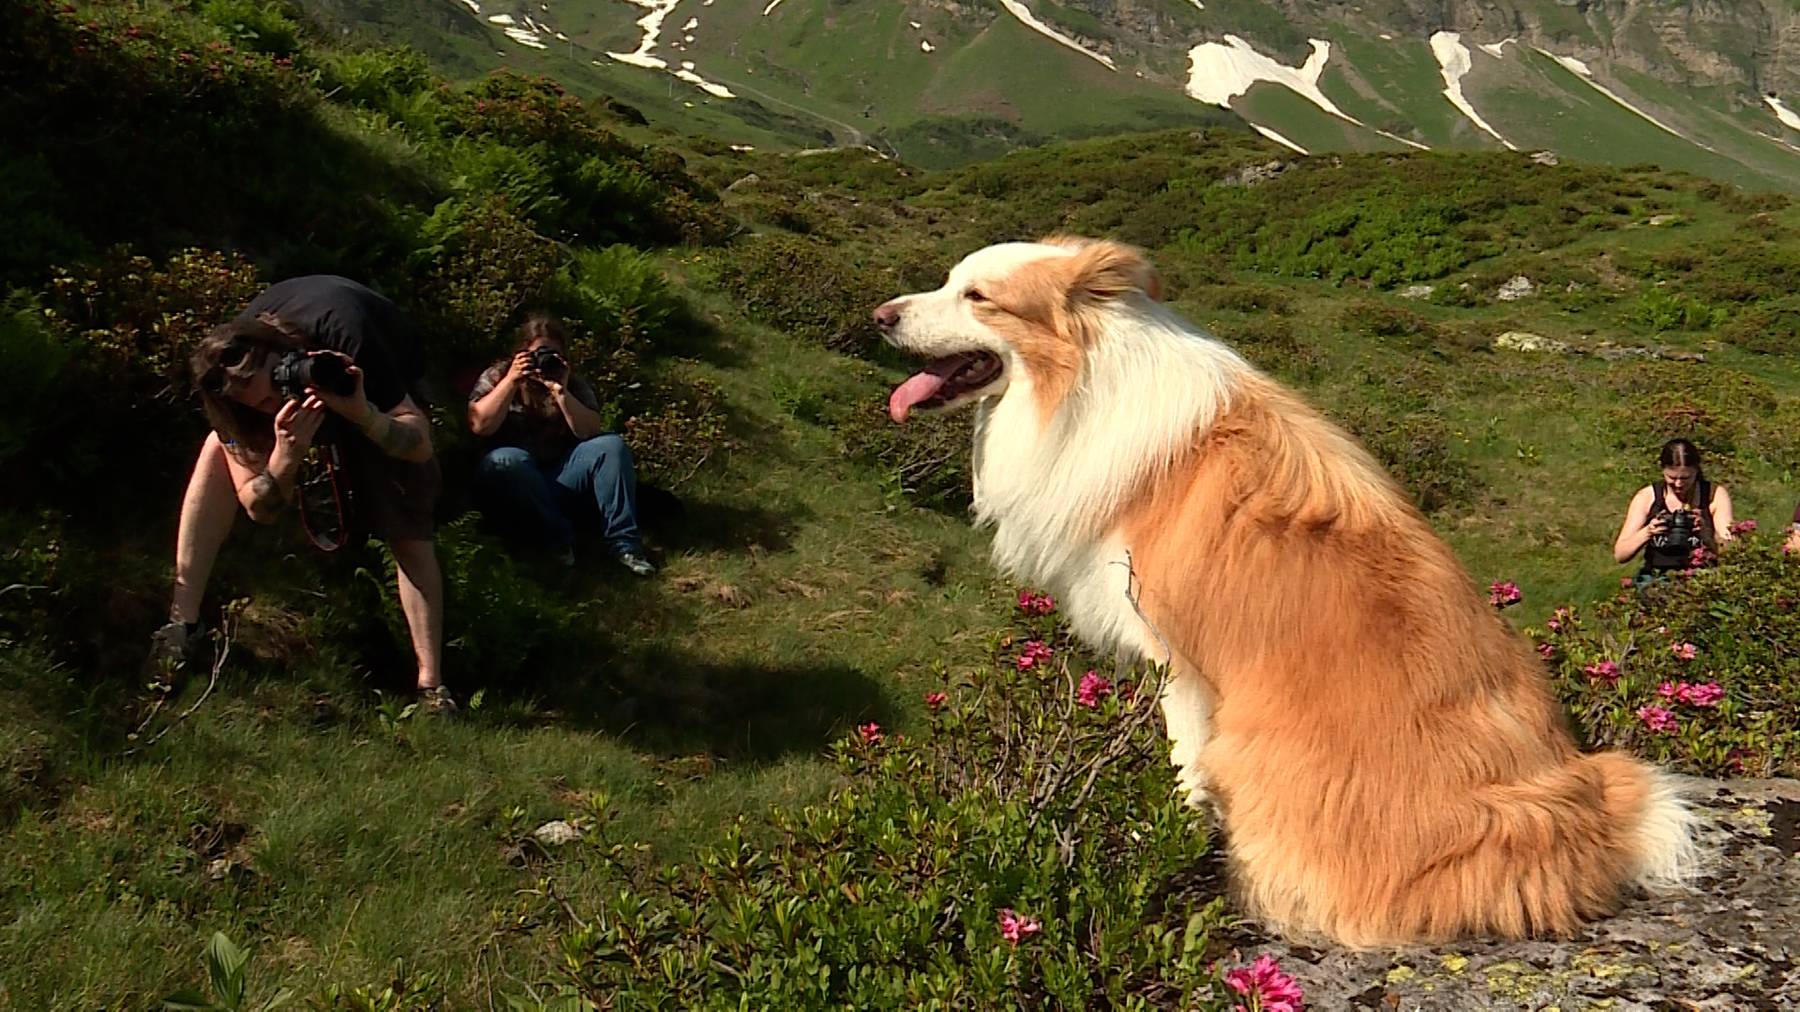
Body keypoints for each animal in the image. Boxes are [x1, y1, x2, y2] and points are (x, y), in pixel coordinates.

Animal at [878, 235, 1692, 943]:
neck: (1083, 385)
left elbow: (1184, 766)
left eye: (978, 297)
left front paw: (1170, 830)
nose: (880, 316)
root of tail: (1557, 829)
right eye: (948, 281)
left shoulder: (1180, 663)